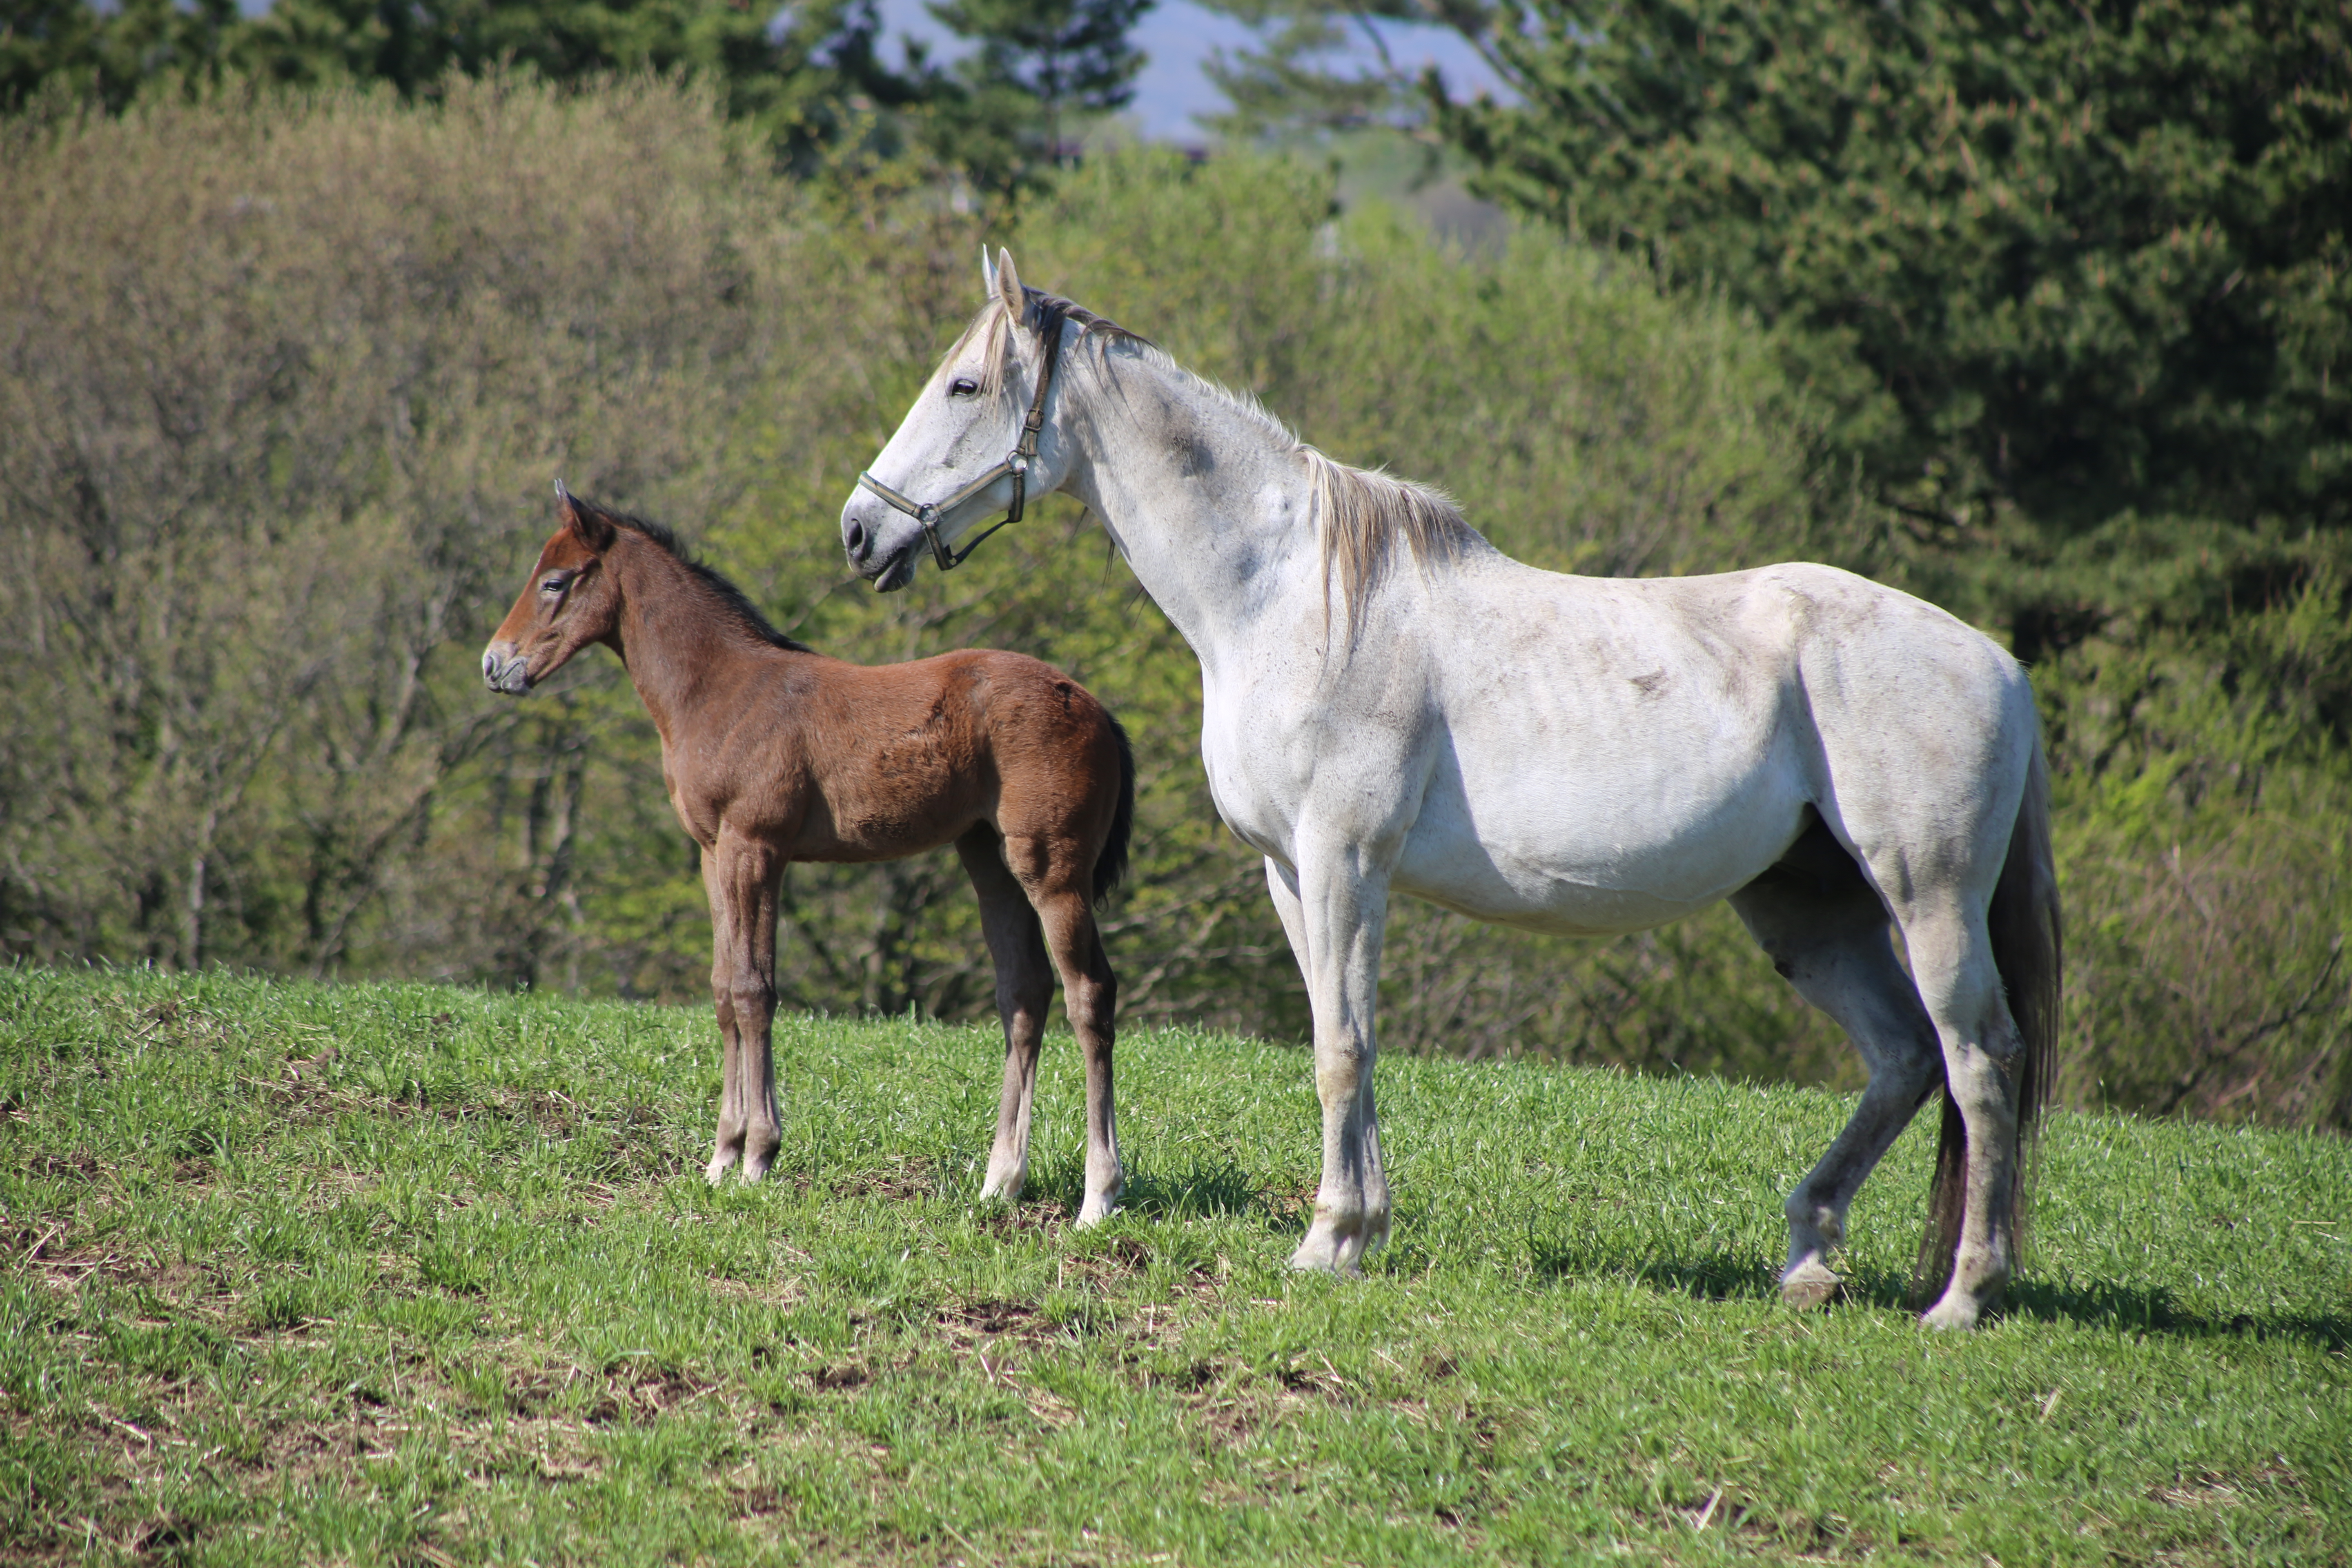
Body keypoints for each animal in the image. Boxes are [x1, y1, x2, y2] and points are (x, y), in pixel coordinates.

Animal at [480, 484, 1129, 1222]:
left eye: (555, 581)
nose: (495, 665)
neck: (722, 689)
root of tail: (1094, 706)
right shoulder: (713, 854)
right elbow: (724, 989)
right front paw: (721, 1157)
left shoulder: (756, 847)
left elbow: (755, 990)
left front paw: (758, 1155)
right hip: (989, 862)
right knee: (1024, 994)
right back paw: (1001, 1181)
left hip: (1053, 869)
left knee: (1089, 994)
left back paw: (1098, 1196)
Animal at [846, 252, 2060, 1335]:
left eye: (964, 386)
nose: (860, 531)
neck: (1287, 599)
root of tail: (1997, 665)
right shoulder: (1292, 873)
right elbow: (1343, 1034)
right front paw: (1359, 1229)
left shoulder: (1343, 859)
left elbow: (1341, 1046)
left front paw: (1324, 1241)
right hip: (1805, 911)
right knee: (1902, 1057)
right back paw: (1808, 1256)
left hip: (1927, 898)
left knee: (1978, 1057)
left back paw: (1963, 1297)